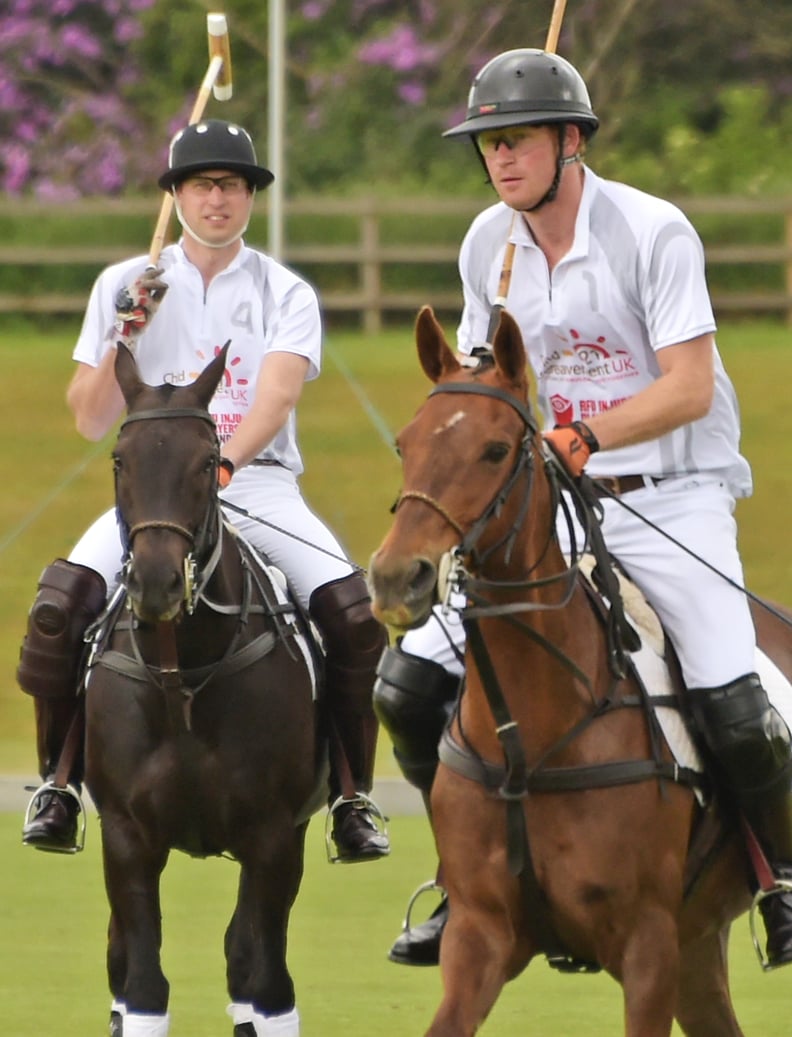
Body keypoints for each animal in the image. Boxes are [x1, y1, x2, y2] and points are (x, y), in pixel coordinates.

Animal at [84, 346, 325, 1037]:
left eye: (204, 461)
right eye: (120, 459)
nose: (156, 583)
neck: (185, 670)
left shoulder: (273, 836)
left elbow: (265, 986)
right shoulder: (125, 836)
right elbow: (143, 988)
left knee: (247, 963)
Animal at [369, 306, 792, 1037]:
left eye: (495, 450)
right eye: (405, 443)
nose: (398, 577)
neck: (534, 739)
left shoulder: (647, 944)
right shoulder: (480, 937)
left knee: (741, 716)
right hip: (697, 945)